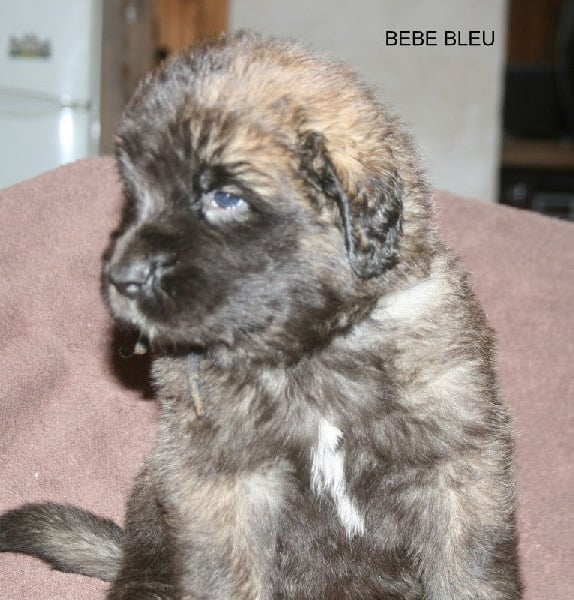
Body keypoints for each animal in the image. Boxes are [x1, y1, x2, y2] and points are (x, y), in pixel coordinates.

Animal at [0, 32, 522, 599]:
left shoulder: (457, 471)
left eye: (226, 197)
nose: (122, 277)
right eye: (135, 194)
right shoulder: (223, 484)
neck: (310, 352)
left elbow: (469, 573)